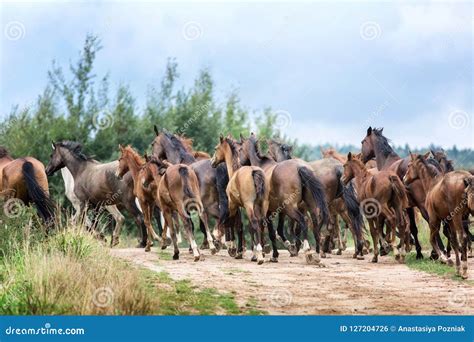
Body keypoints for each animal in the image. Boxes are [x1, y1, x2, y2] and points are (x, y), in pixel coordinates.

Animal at [211, 135, 270, 264]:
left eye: (216, 148)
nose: (212, 162)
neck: (234, 172)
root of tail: (254, 172)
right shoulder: (241, 207)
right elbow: (240, 224)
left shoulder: (233, 205)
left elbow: (231, 221)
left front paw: (229, 246)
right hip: (262, 205)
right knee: (262, 222)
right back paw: (263, 251)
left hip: (249, 206)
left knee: (255, 222)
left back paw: (259, 254)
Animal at [239, 132, 332, 264]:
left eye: (240, 149)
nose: (240, 163)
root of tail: (299, 167)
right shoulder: (281, 211)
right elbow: (279, 230)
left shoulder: (268, 211)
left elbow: (271, 232)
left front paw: (273, 255)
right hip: (311, 206)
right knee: (315, 225)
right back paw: (317, 254)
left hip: (291, 208)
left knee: (304, 220)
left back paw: (307, 251)